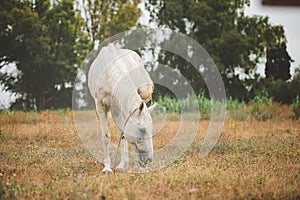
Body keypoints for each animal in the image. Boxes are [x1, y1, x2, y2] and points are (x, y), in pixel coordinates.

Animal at [88, 44, 156, 173]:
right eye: (142, 130)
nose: (149, 159)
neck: (109, 73)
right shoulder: (100, 106)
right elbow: (106, 136)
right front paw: (107, 168)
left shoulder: (119, 108)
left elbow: (123, 133)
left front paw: (123, 164)